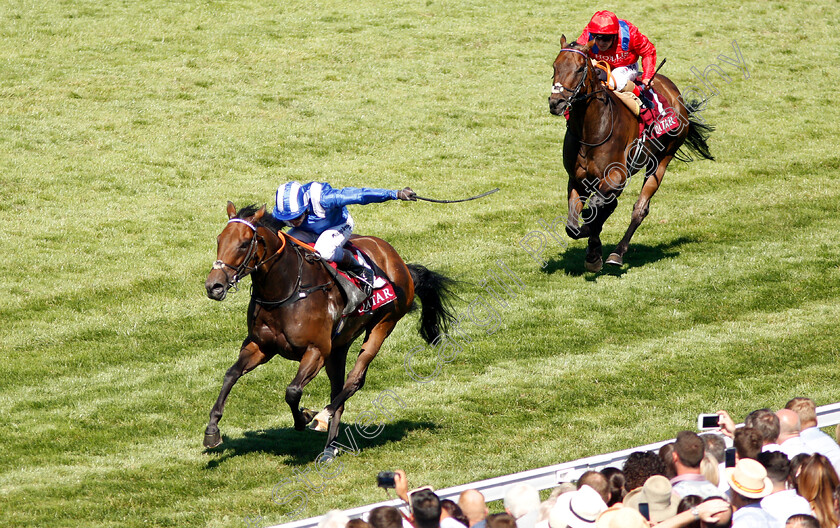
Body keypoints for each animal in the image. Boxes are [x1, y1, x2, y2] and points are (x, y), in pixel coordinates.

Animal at [203, 201, 456, 458]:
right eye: (219, 239)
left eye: (244, 243)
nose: (214, 286)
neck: (285, 290)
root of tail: (399, 262)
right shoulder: (260, 345)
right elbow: (231, 374)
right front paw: (212, 430)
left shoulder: (316, 350)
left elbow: (293, 391)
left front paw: (305, 417)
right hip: (339, 346)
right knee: (338, 390)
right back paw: (329, 448)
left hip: (383, 324)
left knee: (354, 380)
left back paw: (324, 417)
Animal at [548, 36, 712, 272]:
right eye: (555, 66)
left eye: (579, 69)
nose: (556, 103)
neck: (591, 130)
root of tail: (674, 90)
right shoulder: (577, 179)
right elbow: (573, 225)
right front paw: (592, 251)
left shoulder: (616, 176)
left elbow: (596, 208)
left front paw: (594, 249)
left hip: (661, 161)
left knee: (640, 208)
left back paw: (617, 253)